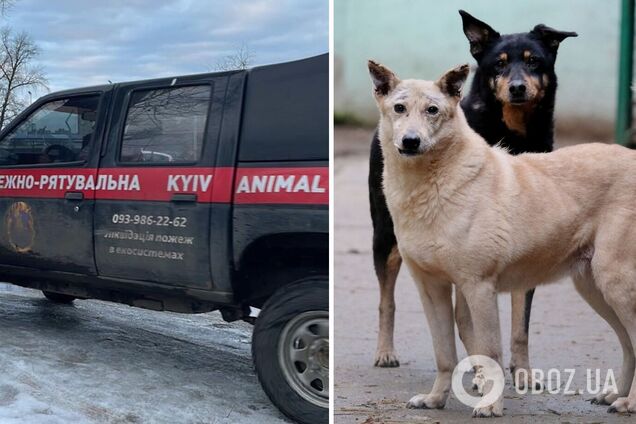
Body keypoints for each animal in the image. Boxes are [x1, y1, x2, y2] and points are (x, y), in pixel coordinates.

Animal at [368, 9, 576, 374]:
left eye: (534, 61)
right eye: (499, 65)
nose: (518, 88)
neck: (512, 133)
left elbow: (520, 321)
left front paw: (522, 371)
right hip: (385, 237)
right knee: (387, 300)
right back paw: (386, 351)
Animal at [370, 61, 636, 416]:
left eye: (432, 110)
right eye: (399, 108)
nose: (410, 142)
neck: (434, 183)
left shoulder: (479, 287)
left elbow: (490, 352)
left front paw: (490, 405)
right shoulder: (431, 288)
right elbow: (444, 354)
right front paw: (435, 399)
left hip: (615, 284)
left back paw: (629, 402)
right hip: (595, 289)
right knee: (628, 344)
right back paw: (616, 396)